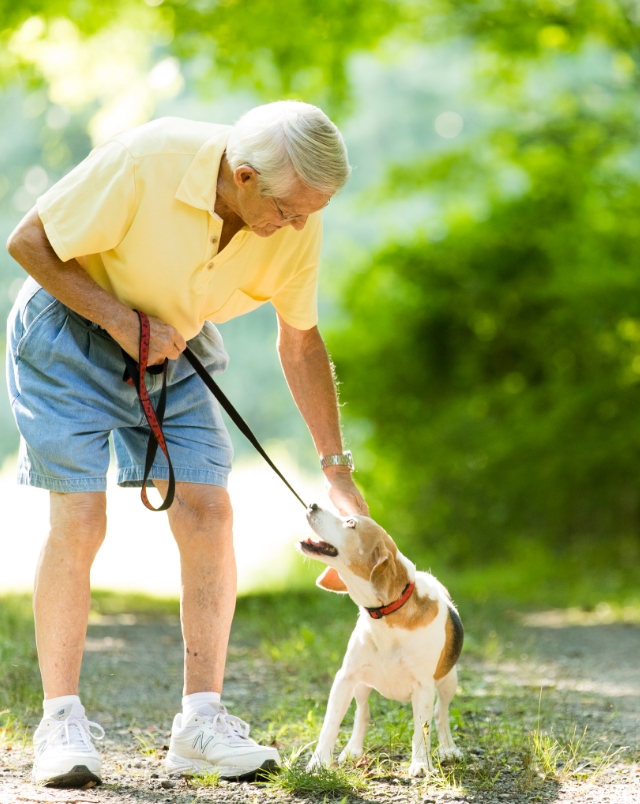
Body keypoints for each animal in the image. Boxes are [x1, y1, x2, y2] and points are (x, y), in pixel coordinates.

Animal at [300, 506, 464, 776]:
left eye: (351, 522)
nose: (312, 505)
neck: (388, 615)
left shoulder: (423, 686)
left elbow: (422, 729)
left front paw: (421, 764)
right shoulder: (345, 678)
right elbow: (330, 725)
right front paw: (318, 763)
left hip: (449, 681)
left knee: (441, 714)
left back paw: (449, 749)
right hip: (361, 684)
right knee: (362, 714)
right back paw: (353, 749)